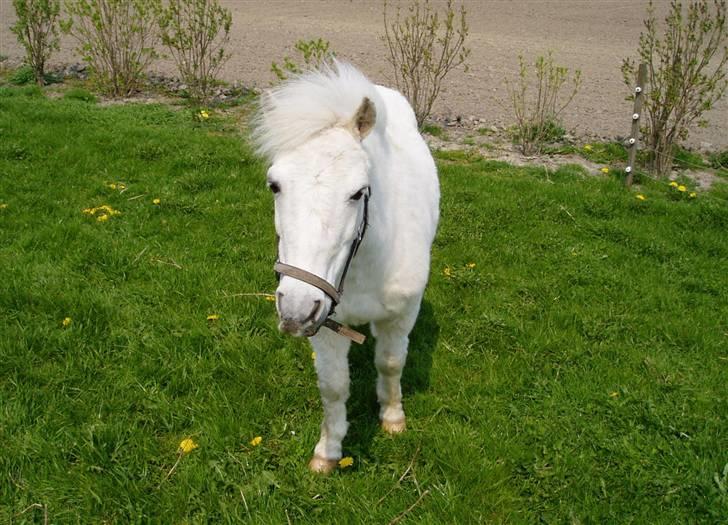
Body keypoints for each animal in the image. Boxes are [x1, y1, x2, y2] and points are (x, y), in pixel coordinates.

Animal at [256, 63, 438, 472]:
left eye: (358, 192)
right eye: (274, 185)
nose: (295, 311)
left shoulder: (401, 316)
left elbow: (390, 363)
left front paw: (392, 417)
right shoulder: (325, 325)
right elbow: (334, 387)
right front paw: (329, 451)